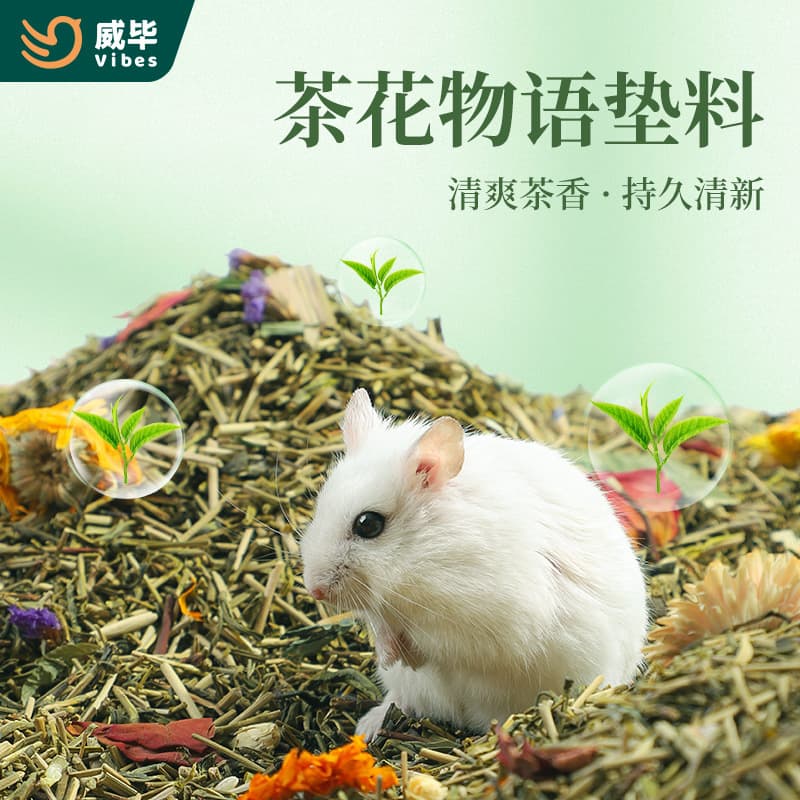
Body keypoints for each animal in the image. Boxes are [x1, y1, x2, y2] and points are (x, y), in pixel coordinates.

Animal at [301, 388, 648, 740]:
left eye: (368, 524)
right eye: (320, 507)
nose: (314, 590)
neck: (420, 561)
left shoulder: (490, 623)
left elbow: (435, 642)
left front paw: (410, 657)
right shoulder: (385, 609)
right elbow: (381, 623)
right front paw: (389, 658)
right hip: (411, 690)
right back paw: (368, 727)